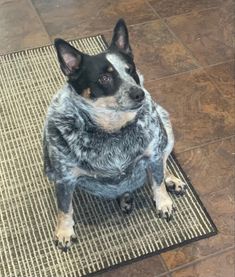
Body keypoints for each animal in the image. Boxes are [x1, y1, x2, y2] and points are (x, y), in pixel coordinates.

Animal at [43, 18, 187, 251]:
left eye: (131, 70)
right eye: (104, 77)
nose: (139, 93)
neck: (113, 130)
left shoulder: (153, 152)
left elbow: (157, 181)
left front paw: (163, 202)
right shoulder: (64, 176)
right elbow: (64, 208)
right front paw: (64, 231)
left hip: (166, 126)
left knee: (162, 165)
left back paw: (170, 180)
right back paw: (125, 198)